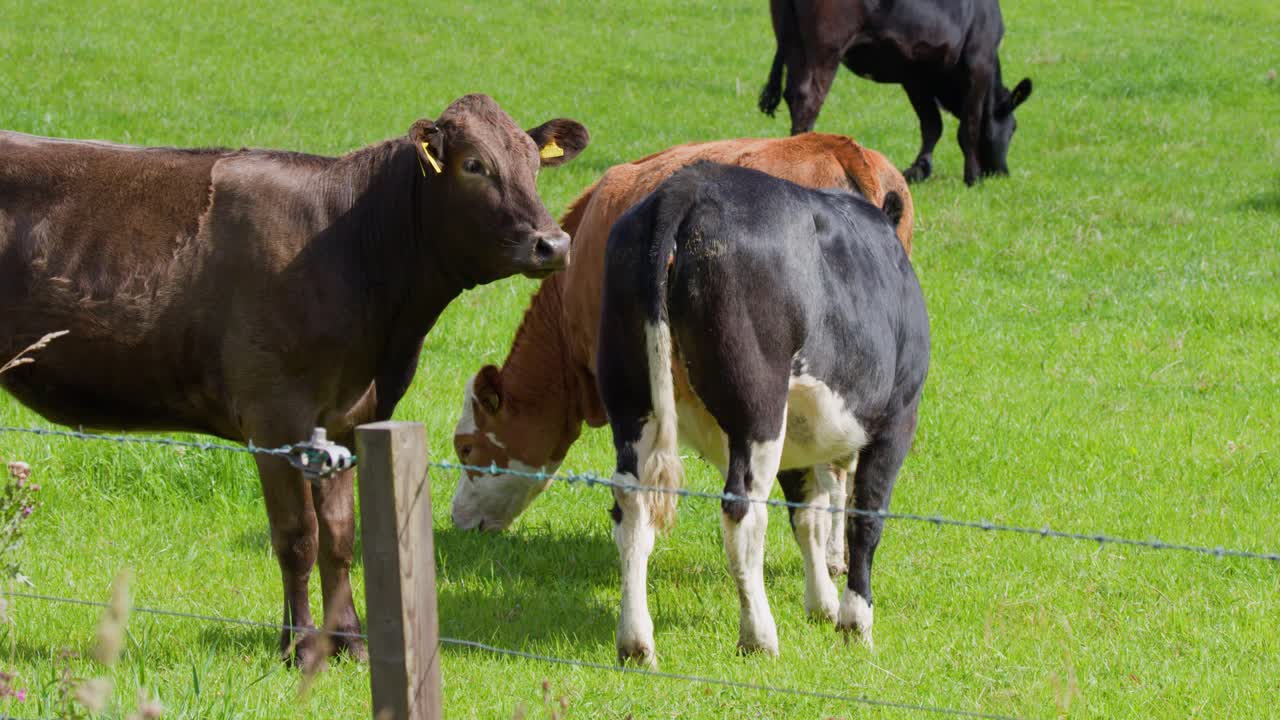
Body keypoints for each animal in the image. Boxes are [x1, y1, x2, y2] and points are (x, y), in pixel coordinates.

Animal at [0, 94, 588, 666]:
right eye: (473, 165)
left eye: (534, 165)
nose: (554, 245)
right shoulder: (275, 418)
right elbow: (297, 536)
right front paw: (301, 647)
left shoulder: (350, 421)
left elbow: (340, 537)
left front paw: (347, 641)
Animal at [596, 162, 928, 665]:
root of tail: (688, 186)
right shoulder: (896, 419)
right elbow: (865, 518)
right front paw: (854, 623)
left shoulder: (801, 435)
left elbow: (808, 516)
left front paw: (822, 604)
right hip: (758, 409)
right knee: (743, 512)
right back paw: (759, 636)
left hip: (632, 401)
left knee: (632, 506)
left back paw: (636, 642)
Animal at [758, 0, 1033, 186]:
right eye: (1013, 128)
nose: (1002, 173)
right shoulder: (979, 61)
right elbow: (970, 125)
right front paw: (973, 177)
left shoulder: (916, 74)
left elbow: (932, 125)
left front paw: (918, 170)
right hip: (826, 46)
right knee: (808, 98)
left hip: (791, 38)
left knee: (793, 93)